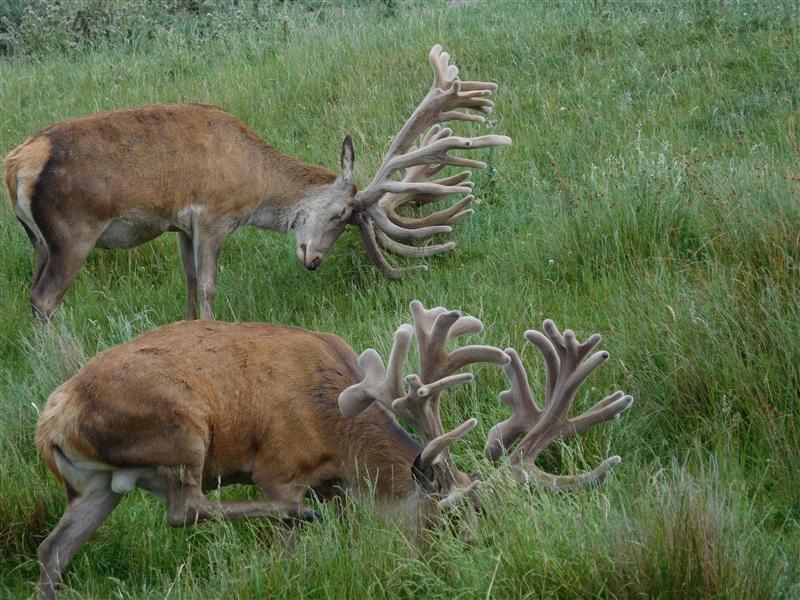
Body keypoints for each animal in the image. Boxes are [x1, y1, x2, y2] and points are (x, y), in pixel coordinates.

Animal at [3, 47, 510, 322]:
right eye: (341, 214)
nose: (314, 260)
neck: (255, 183)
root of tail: (17, 163)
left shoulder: (182, 226)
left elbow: (189, 283)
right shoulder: (213, 214)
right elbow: (209, 285)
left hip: (38, 239)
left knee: (31, 296)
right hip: (73, 231)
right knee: (44, 299)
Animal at [34, 302, 632, 596]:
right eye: (448, 521)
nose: (476, 559)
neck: (338, 438)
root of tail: (51, 420)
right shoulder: (278, 463)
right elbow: (285, 534)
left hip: (96, 485)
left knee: (53, 550)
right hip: (182, 425)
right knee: (187, 508)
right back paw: (299, 513)